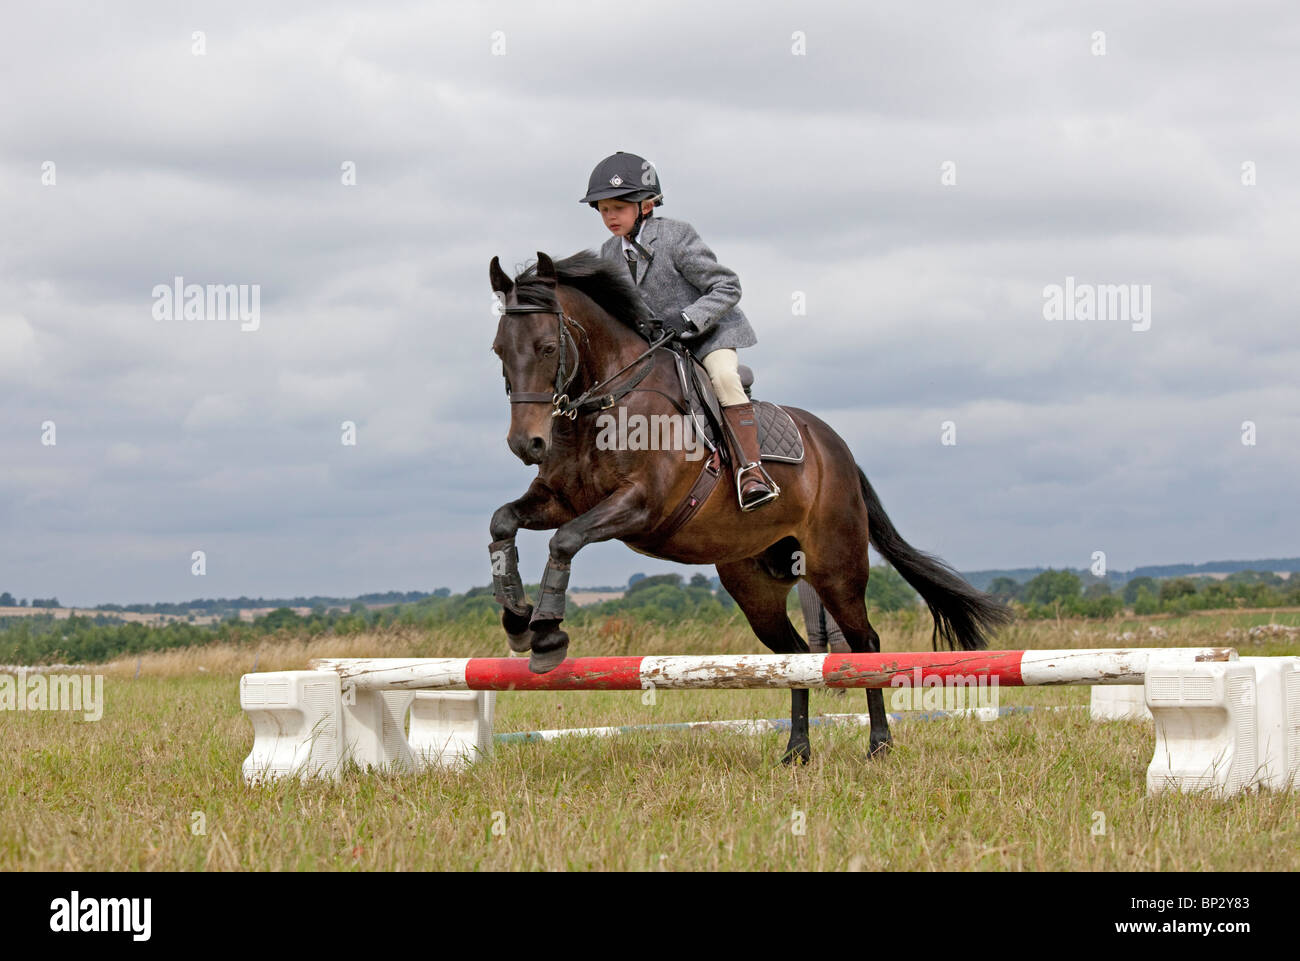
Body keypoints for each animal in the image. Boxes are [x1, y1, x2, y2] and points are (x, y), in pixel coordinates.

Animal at [488, 252, 1013, 764]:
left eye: (547, 348)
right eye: (499, 351)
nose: (525, 444)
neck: (607, 402)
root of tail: (838, 450)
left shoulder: (640, 505)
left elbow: (566, 540)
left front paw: (546, 634)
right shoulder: (559, 500)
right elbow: (504, 523)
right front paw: (516, 616)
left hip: (836, 568)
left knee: (866, 645)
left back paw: (879, 745)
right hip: (754, 584)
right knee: (794, 656)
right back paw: (796, 751)